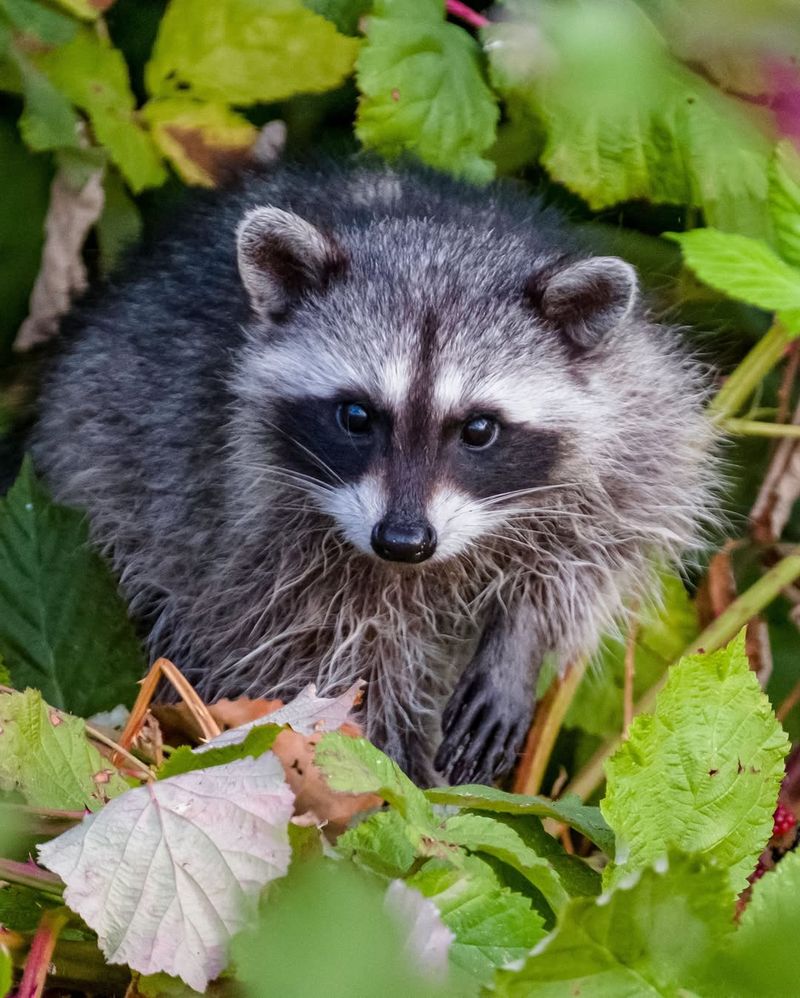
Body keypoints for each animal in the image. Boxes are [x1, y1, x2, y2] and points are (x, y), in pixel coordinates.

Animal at [32, 161, 715, 786]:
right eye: (356, 415)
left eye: (478, 429)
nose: (403, 542)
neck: (436, 243)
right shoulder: (240, 523)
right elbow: (324, 655)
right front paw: (391, 771)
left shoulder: (635, 409)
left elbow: (597, 547)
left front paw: (520, 643)